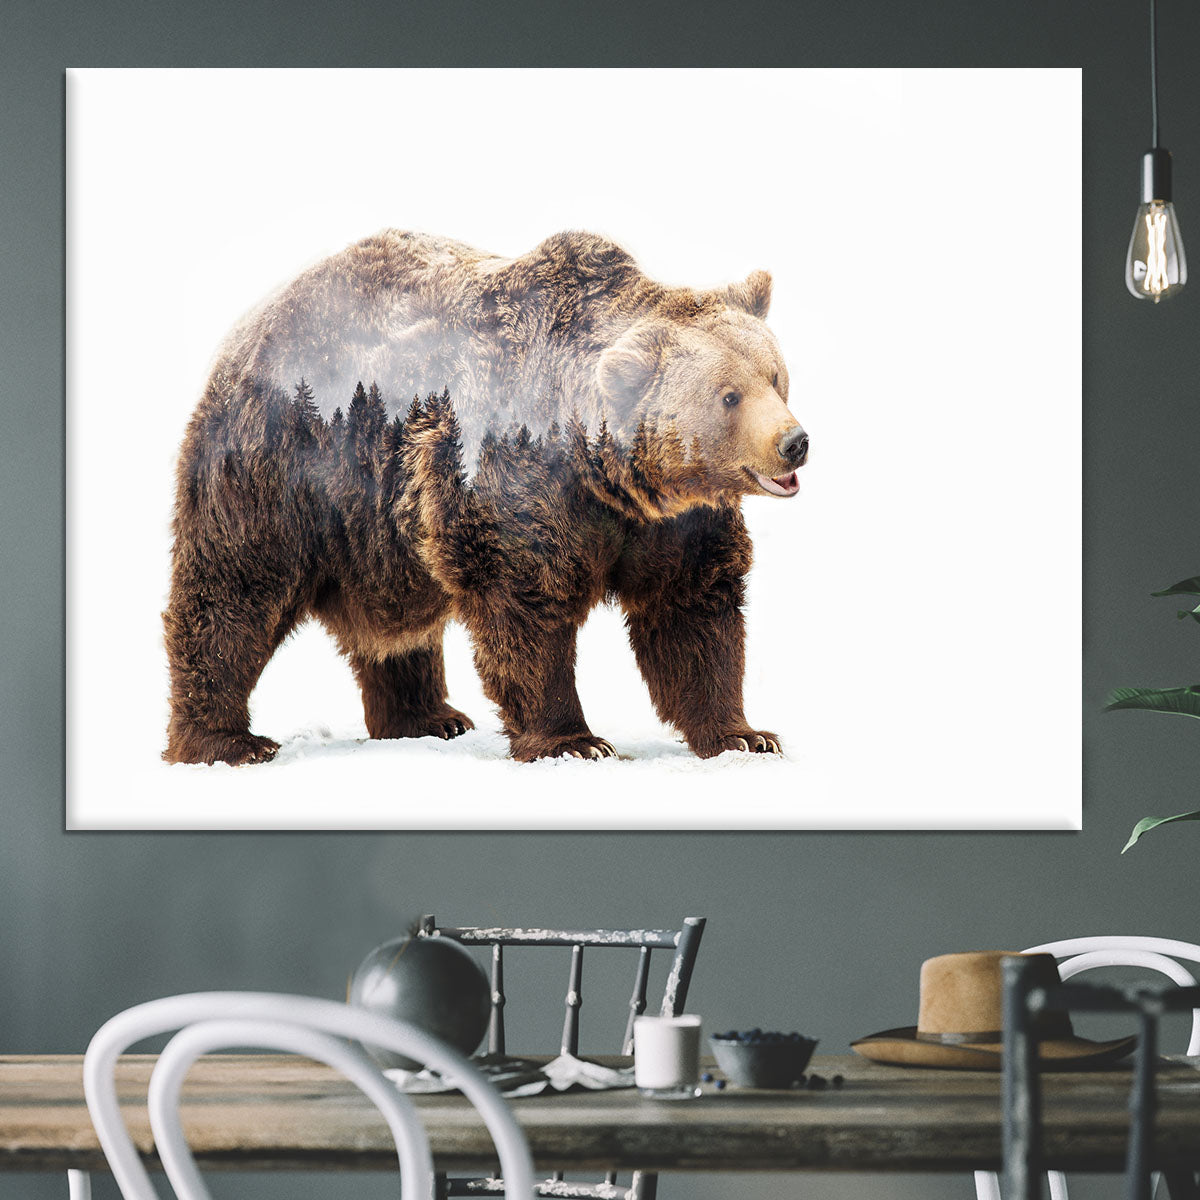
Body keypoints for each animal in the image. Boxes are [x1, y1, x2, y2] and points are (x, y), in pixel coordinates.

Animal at [162, 230, 809, 766]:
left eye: (776, 377)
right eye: (729, 395)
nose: (794, 443)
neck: (609, 476)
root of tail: (250, 324)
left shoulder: (673, 523)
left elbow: (692, 611)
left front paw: (745, 735)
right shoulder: (517, 480)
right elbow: (526, 606)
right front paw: (574, 741)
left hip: (380, 530)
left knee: (397, 626)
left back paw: (428, 717)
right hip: (281, 466)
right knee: (235, 591)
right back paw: (226, 741)